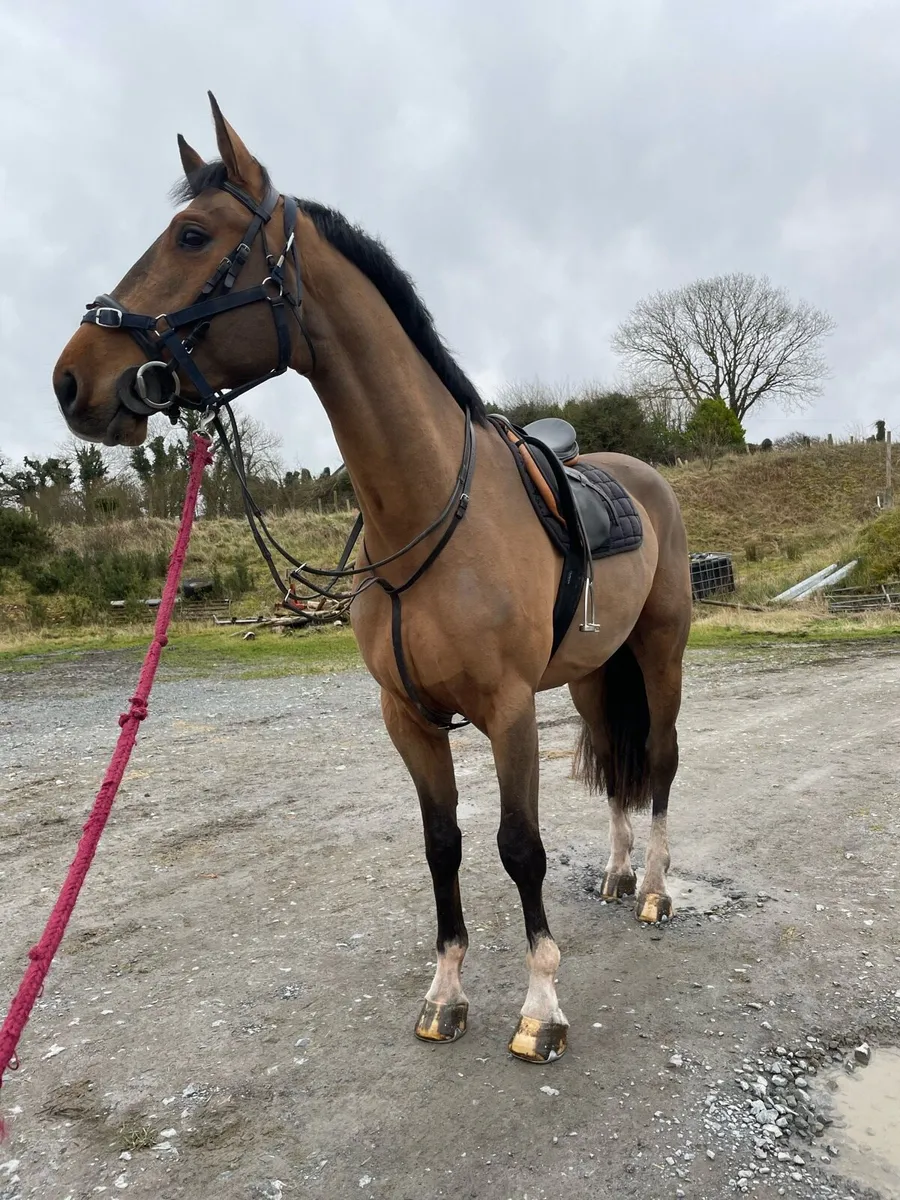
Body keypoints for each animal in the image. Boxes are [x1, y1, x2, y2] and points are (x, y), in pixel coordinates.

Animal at [51, 93, 691, 1064]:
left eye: (193, 236)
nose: (71, 380)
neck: (430, 509)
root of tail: (641, 476)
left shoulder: (508, 711)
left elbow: (521, 847)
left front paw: (540, 1007)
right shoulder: (408, 719)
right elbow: (442, 846)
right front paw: (446, 993)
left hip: (659, 652)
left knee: (656, 759)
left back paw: (654, 889)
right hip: (589, 673)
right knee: (614, 766)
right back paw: (619, 876)